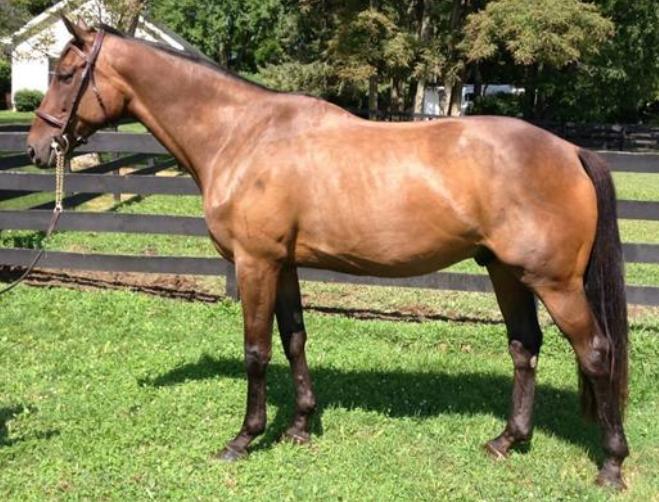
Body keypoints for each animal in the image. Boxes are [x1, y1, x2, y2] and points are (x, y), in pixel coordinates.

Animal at [26, 18, 630, 489]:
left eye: (65, 74)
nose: (36, 148)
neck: (243, 136)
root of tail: (571, 151)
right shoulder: (284, 264)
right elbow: (294, 339)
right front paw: (299, 426)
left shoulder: (255, 263)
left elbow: (257, 351)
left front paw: (245, 438)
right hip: (506, 272)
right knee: (525, 347)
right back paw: (507, 440)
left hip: (554, 283)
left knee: (596, 353)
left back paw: (612, 465)